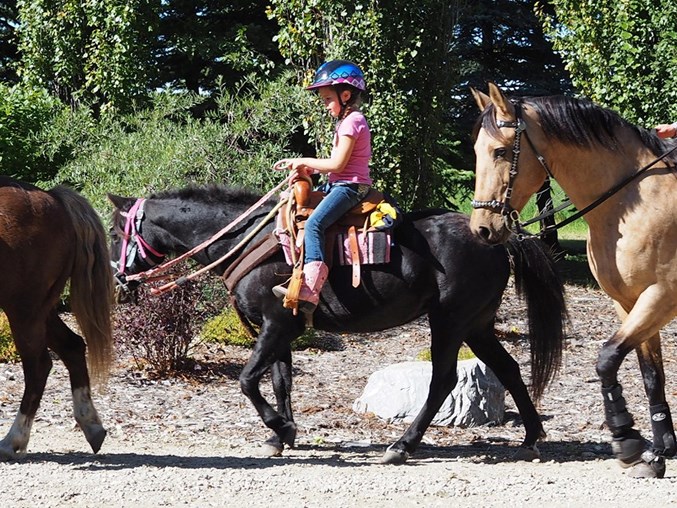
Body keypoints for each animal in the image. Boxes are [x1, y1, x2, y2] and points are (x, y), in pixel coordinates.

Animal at [0, 177, 113, 458]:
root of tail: (54, 200)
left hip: (24, 310)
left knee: (39, 367)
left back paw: (13, 441)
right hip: (41, 310)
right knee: (72, 347)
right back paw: (91, 425)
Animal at [109, 185, 564, 466]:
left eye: (116, 232)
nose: (117, 281)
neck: (249, 243)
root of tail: (500, 239)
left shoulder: (276, 325)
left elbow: (247, 380)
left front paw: (279, 426)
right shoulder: (282, 331)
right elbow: (280, 381)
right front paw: (283, 435)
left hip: (450, 321)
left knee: (444, 379)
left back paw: (402, 446)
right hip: (477, 324)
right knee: (508, 368)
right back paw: (532, 437)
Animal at [468, 82, 676, 476]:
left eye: (500, 151)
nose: (482, 229)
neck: (634, 202)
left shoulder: (660, 297)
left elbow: (607, 358)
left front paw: (626, 439)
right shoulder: (629, 304)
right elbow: (651, 376)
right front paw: (658, 452)